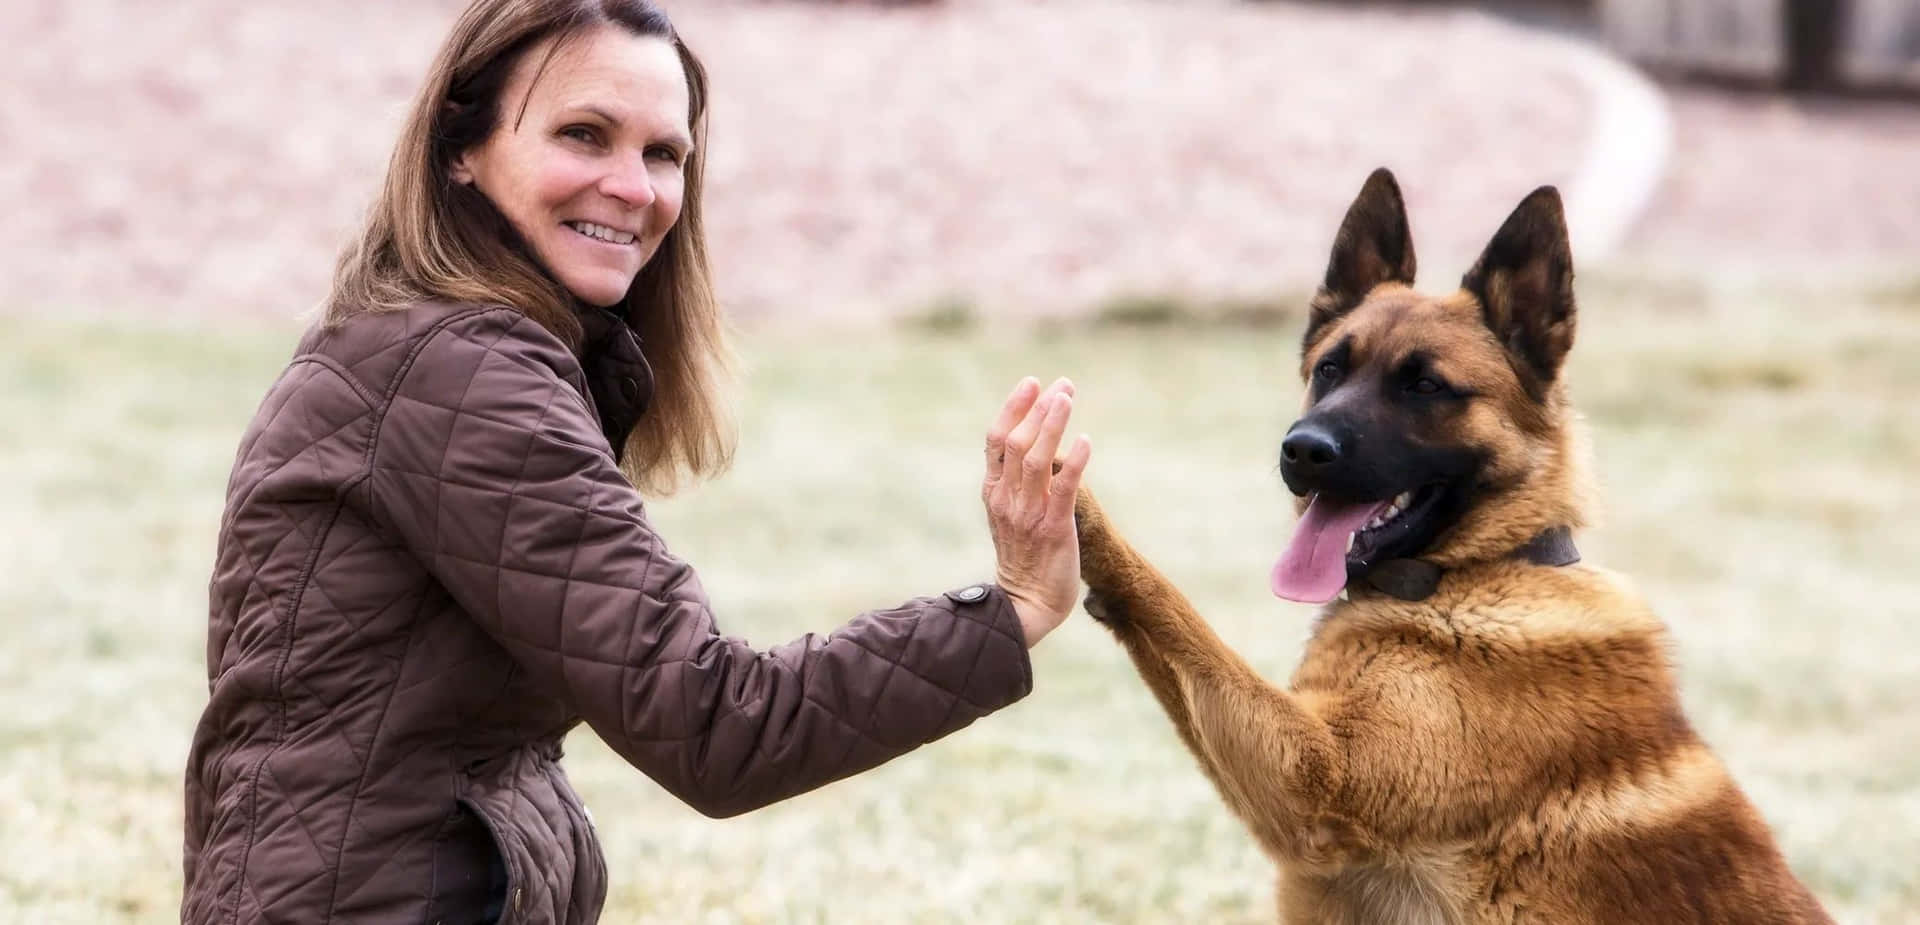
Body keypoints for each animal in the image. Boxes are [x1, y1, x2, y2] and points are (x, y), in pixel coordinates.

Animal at [1075, 169, 1835, 921]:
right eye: (1328, 370)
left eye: (1425, 385)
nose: (1302, 450)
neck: (1473, 572)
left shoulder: (1312, 781)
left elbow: (1175, 608)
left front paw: (1070, 500)